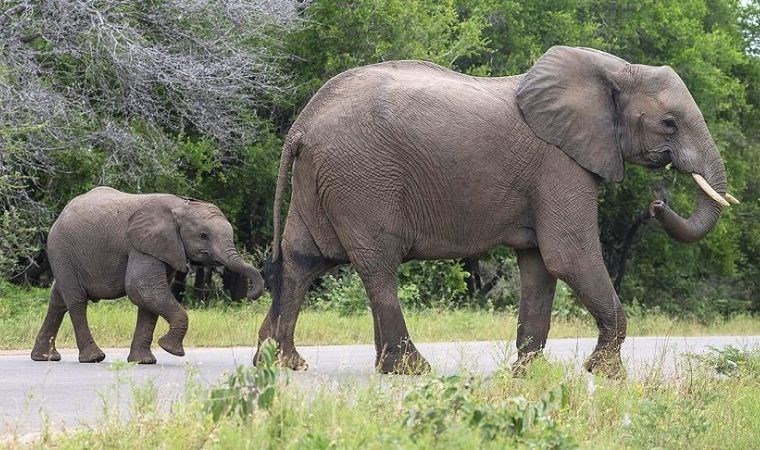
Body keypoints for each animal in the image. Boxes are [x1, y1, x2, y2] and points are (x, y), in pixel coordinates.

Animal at [31, 188, 264, 364]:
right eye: (204, 235)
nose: (250, 294)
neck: (180, 205)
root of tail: (62, 212)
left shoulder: (164, 248)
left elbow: (148, 299)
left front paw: (143, 362)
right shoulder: (142, 245)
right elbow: (141, 288)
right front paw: (171, 349)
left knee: (58, 299)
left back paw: (45, 357)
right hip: (62, 249)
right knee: (76, 300)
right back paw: (94, 358)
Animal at [254, 46, 736, 376]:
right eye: (669, 123)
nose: (657, 203)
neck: (614, 70)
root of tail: (301, 124)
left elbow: (540, 265)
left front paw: (527, 374)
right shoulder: (559, 163)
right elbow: (570, 256)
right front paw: (604, 373)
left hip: (320, 181)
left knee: (302, 259)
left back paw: (280, 362)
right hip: (361, 179)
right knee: (377, 265)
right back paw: (409, 369)